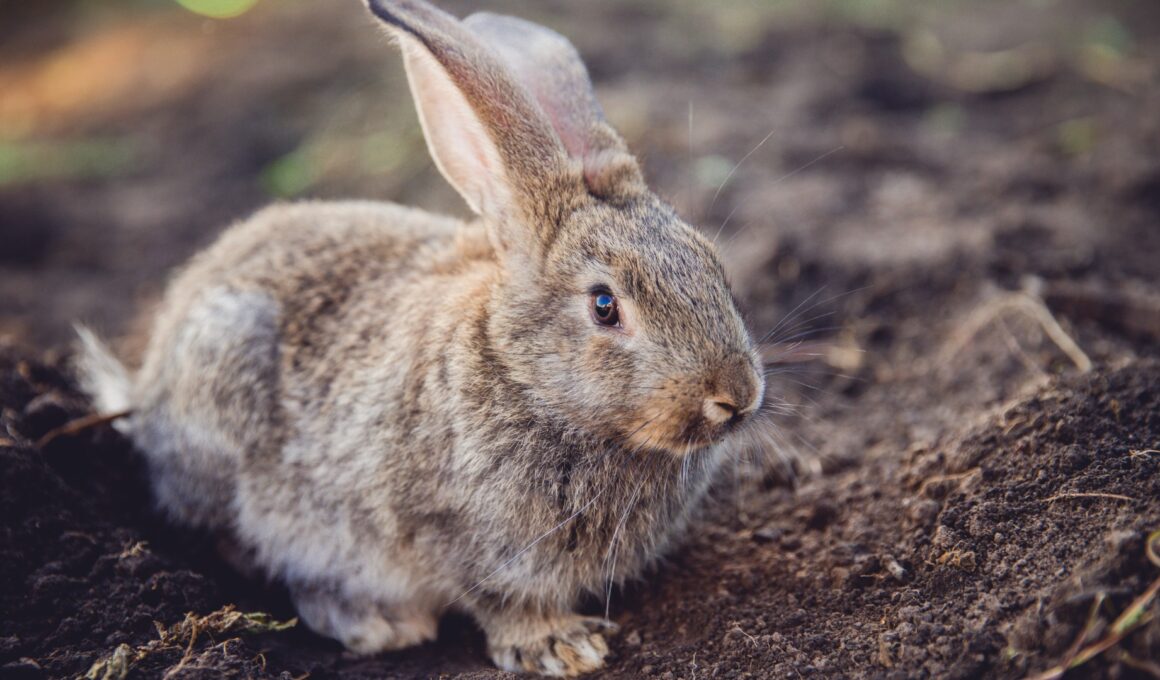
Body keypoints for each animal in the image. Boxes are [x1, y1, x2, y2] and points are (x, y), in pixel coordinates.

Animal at [77, 0, 766, 675]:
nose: (737, 396)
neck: (522, 376)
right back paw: (373, 622)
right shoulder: (444, 531)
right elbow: (499, 598)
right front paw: (560, 647)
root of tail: (146, 388)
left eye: (714, 266)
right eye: (604, 306)